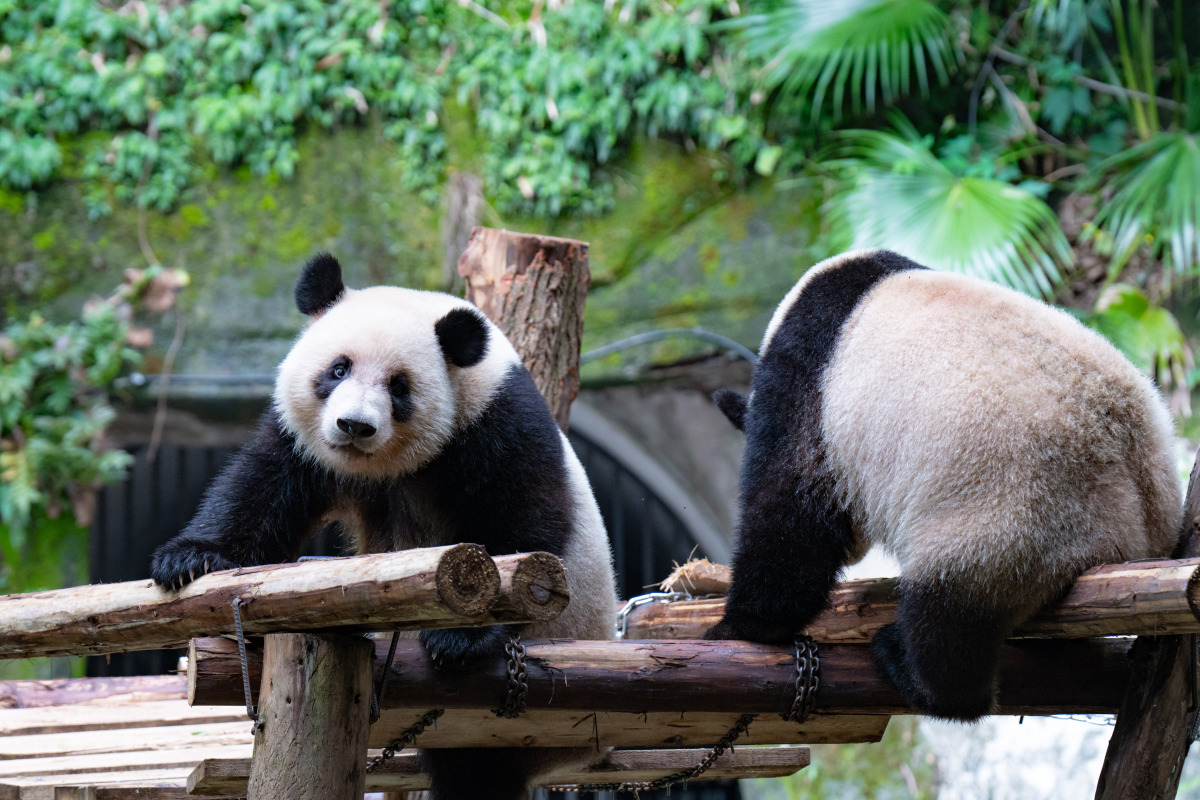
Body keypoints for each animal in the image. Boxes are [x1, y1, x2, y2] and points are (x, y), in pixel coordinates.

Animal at [151, 255, 619, 800]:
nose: (354, 426)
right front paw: (190, 558)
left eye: (399, 386)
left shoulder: (496, 420)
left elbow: (525, 529)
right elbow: (262, 489)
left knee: (477, 771)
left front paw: (460, 636)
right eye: (338, 369)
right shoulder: (302, 442)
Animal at [700, 248, 1180, 719]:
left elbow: (791, 512)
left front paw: (736, 629)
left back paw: (911, 670)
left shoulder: (805, 380)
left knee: (946, 621)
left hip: (1017, 512)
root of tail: (1135, 539)